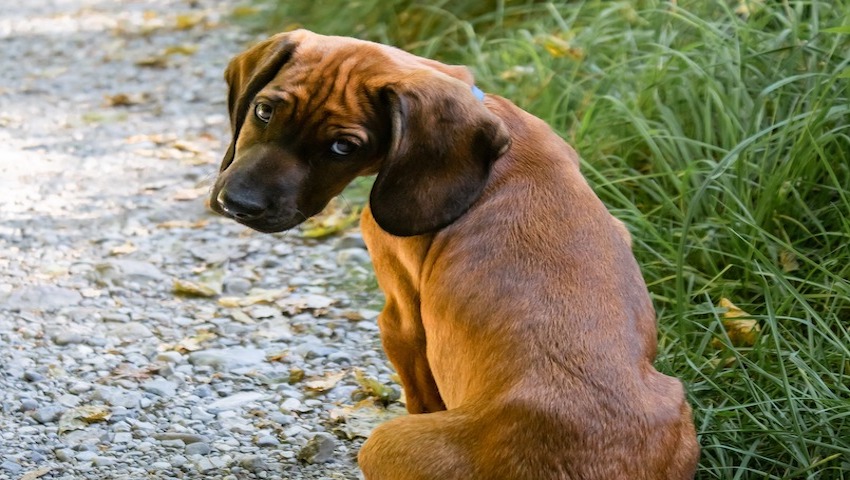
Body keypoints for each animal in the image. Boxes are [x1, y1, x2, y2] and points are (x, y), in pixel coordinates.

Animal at [209, 31, 700, 480]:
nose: (239, 204)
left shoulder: (402, 321)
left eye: (343, 147)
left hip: (385, 439)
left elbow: (420, 389)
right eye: (263, 110)